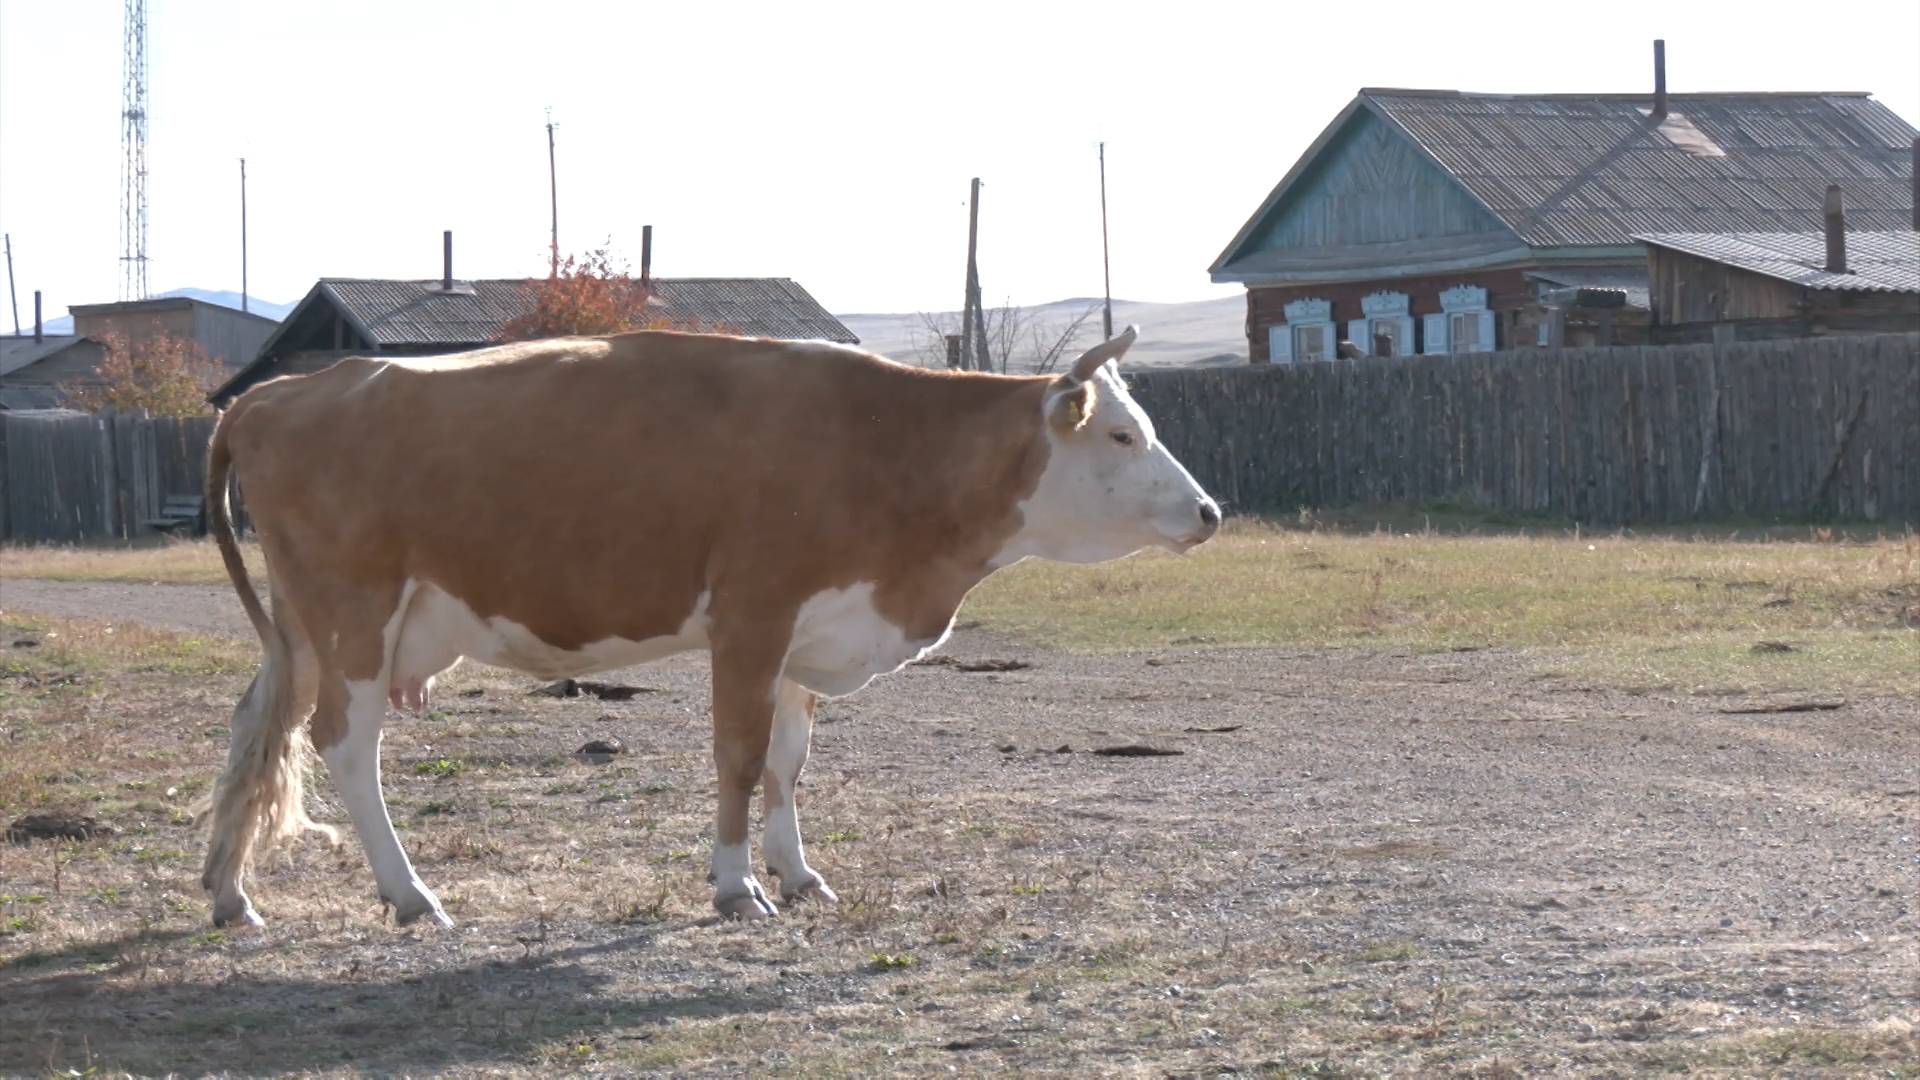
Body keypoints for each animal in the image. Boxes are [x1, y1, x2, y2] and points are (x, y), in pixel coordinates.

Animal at [194, 326, 1213, 926]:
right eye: (1122, 435)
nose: (1207, 512)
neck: (883, 446)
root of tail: (275, 394)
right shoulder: (751, 617)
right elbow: (740, 754)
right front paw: (737, 885)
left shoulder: (810, 630)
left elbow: (789, 763)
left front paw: (797, 873)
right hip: (355, 612)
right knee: (343, 742)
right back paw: (410, 894)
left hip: (300, 626)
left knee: (257, 728)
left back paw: (230, 893)